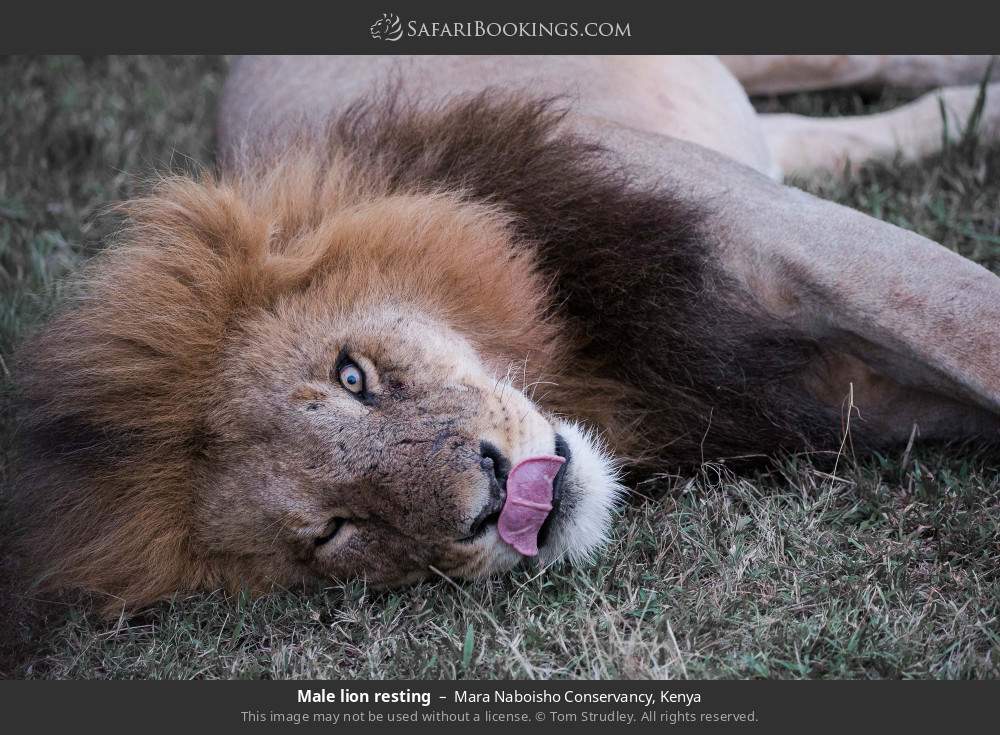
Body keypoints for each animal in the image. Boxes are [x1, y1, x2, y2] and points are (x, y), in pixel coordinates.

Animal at [11, 55, 1000, 614]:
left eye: (352, 376)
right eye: (334, 530)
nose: (492, 495)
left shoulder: (787, 244)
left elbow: (971, 321)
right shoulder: (840, 401)